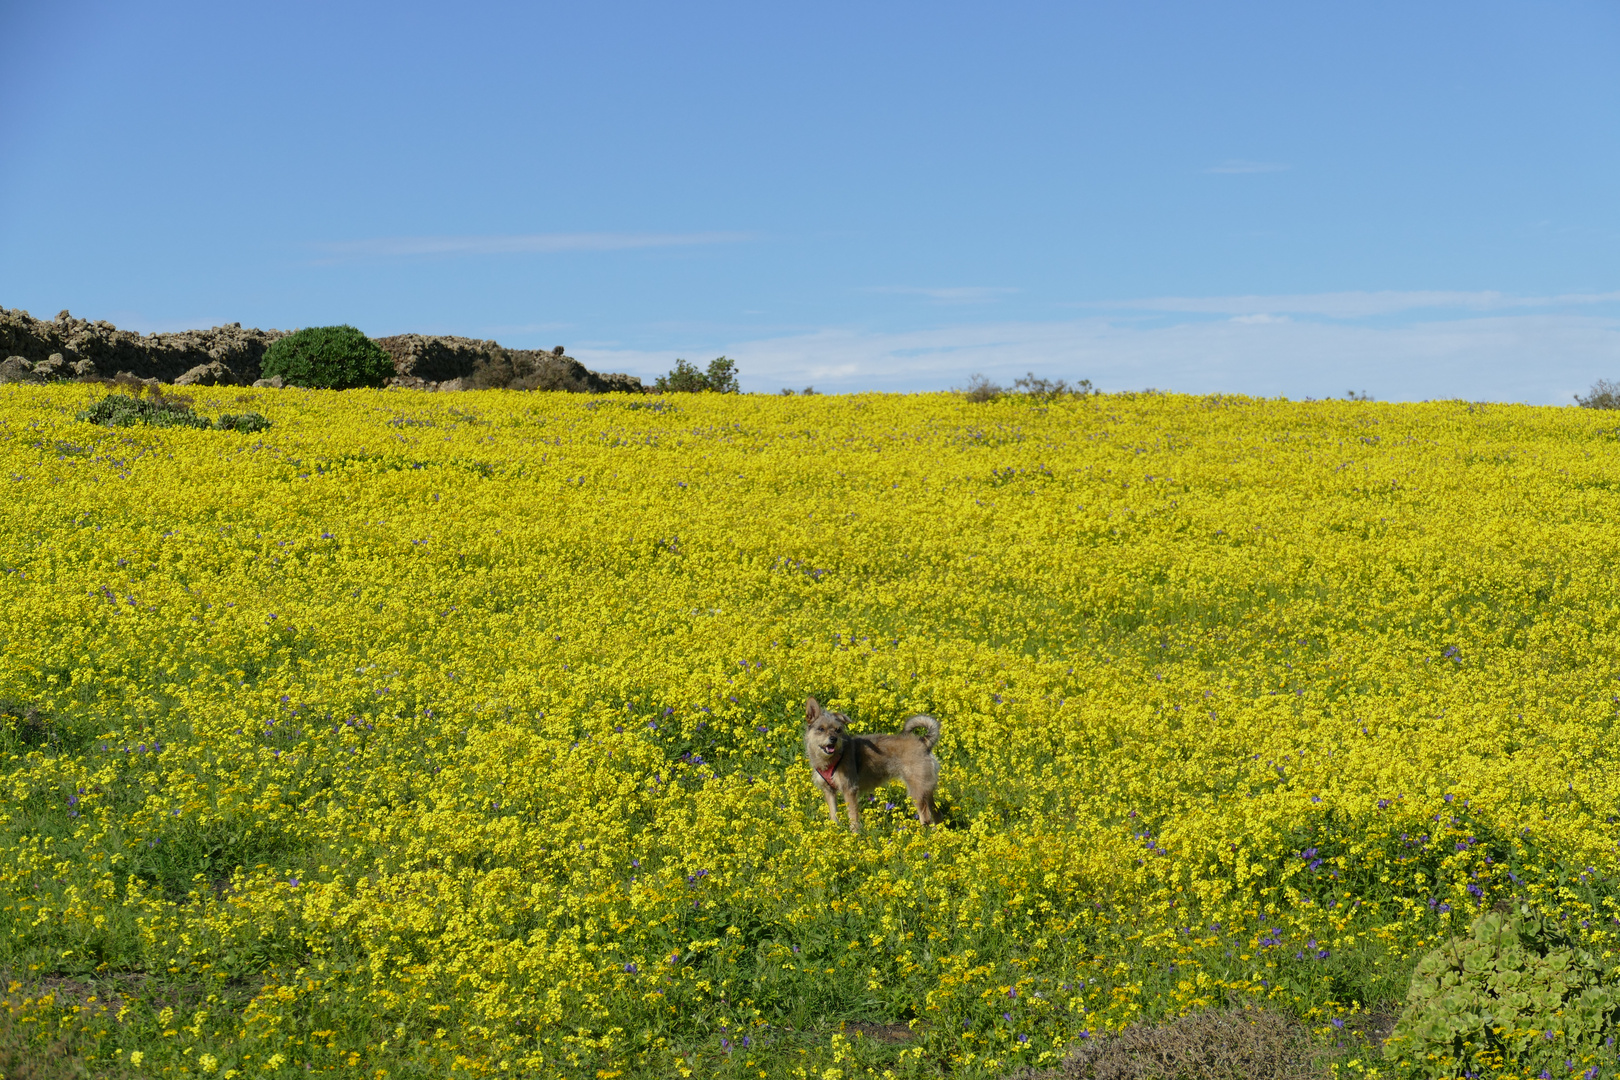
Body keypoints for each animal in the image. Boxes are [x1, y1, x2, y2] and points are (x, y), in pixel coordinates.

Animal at [803, 696, 946, 835]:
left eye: (838, 730)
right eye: (821, 729)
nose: (833, 739)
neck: (830, 759)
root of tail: (924, 742)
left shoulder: (849, 789)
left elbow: (853, 817)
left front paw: (855, 835)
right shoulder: (829, 791)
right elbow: (834, 815)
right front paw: (834, 831)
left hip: (917, 791)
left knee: (926, 817)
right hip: (925, 790)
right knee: (936, 814)